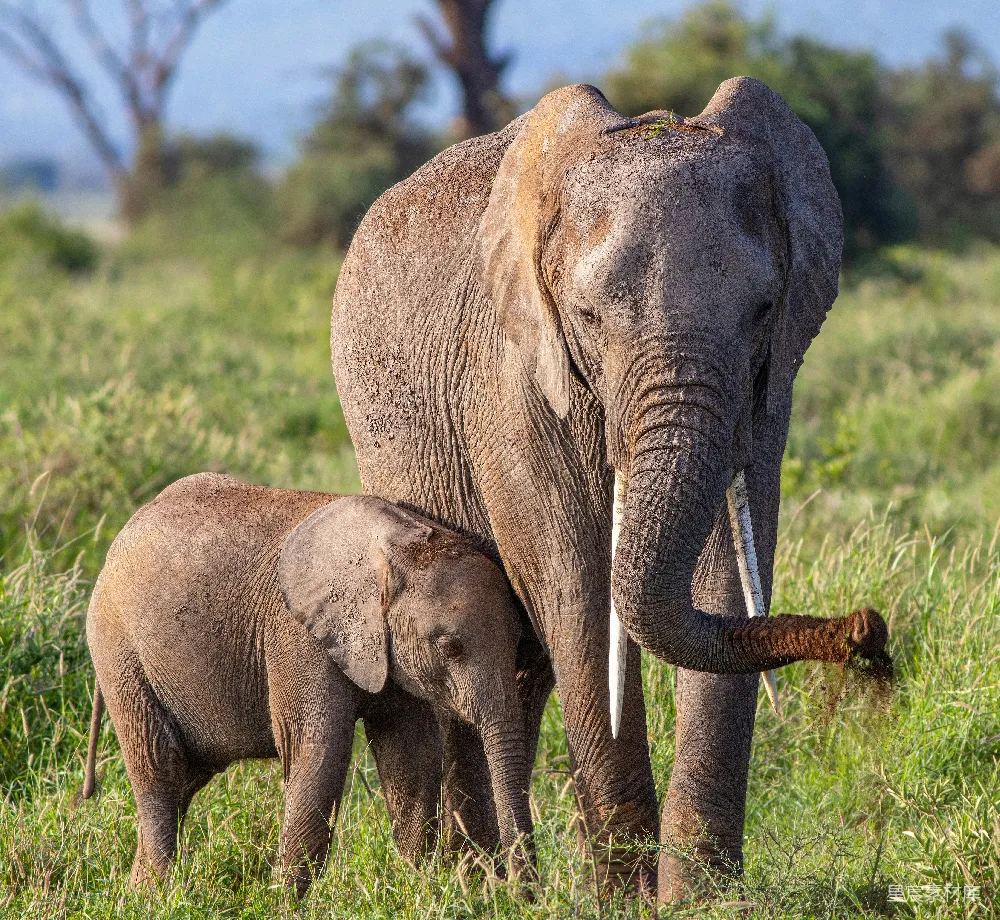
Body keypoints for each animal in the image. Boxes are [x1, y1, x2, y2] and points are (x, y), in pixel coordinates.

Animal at [83, 472, 534, 896]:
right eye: (451, 647)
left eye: (519, 642)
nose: (523, 894)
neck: (397, 545)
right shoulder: (297, 635)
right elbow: (319, 750)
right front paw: (285, 902)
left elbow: (412, 755)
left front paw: (416, 886)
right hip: (120, 653)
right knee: (160, 770)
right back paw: (162, 894)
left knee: (185, 779)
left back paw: (138, 892)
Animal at [329, 76, 890, 902]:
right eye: (588, 317)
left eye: (762, 311)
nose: (864, 631)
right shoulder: (516, 378)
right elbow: (580, 591)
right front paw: (626, 898)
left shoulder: (766, 388)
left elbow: (725, 579)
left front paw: (702, 901)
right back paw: (476, 888)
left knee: (521, 670)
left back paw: (504, 885)